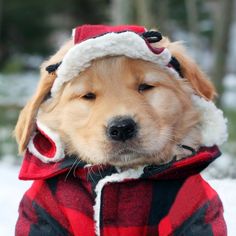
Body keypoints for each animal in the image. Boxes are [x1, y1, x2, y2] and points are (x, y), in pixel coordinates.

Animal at [14, 24, 227, 235]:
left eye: (145, 86)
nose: (122, 128)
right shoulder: (42, 213)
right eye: (88, 95)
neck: (123, 175)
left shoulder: (195, 209)